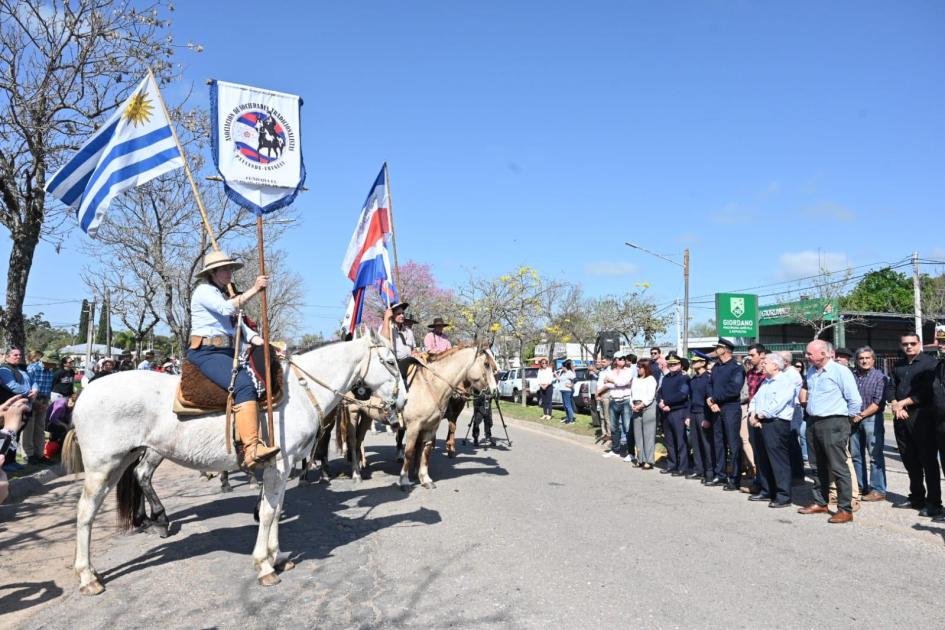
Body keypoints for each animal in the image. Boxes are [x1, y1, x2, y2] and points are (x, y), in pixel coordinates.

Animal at [62, 330, 402, 596]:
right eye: (389, 361)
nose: (401, 402)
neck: (298, 393)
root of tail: (86, 393)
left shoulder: (283, 467)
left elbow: (275, 508)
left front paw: (278, 556)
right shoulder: (279, 464)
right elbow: (268, 512)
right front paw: (264, 565)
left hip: (125, 459)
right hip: (104, 466)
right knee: (86, 512)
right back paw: (88, 576)